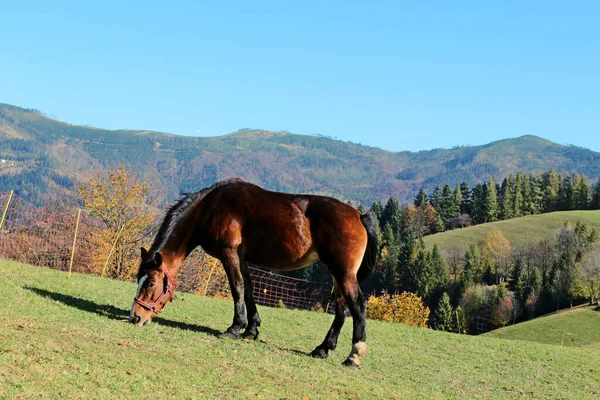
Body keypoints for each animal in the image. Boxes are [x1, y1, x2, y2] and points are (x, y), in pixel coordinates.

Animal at [129, 180, 378, 368]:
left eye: (150, 283)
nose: (135, 317)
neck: (209, 208)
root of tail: (358, 216)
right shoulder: (242, 258)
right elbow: (248, 290)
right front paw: (251, 329)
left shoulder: (229, 253)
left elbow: (237, 288)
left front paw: (234, 328)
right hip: (338, 273)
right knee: (342, 307)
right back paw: (323, 348)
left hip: (342, 272)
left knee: (357, 304)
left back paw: (353, 355)